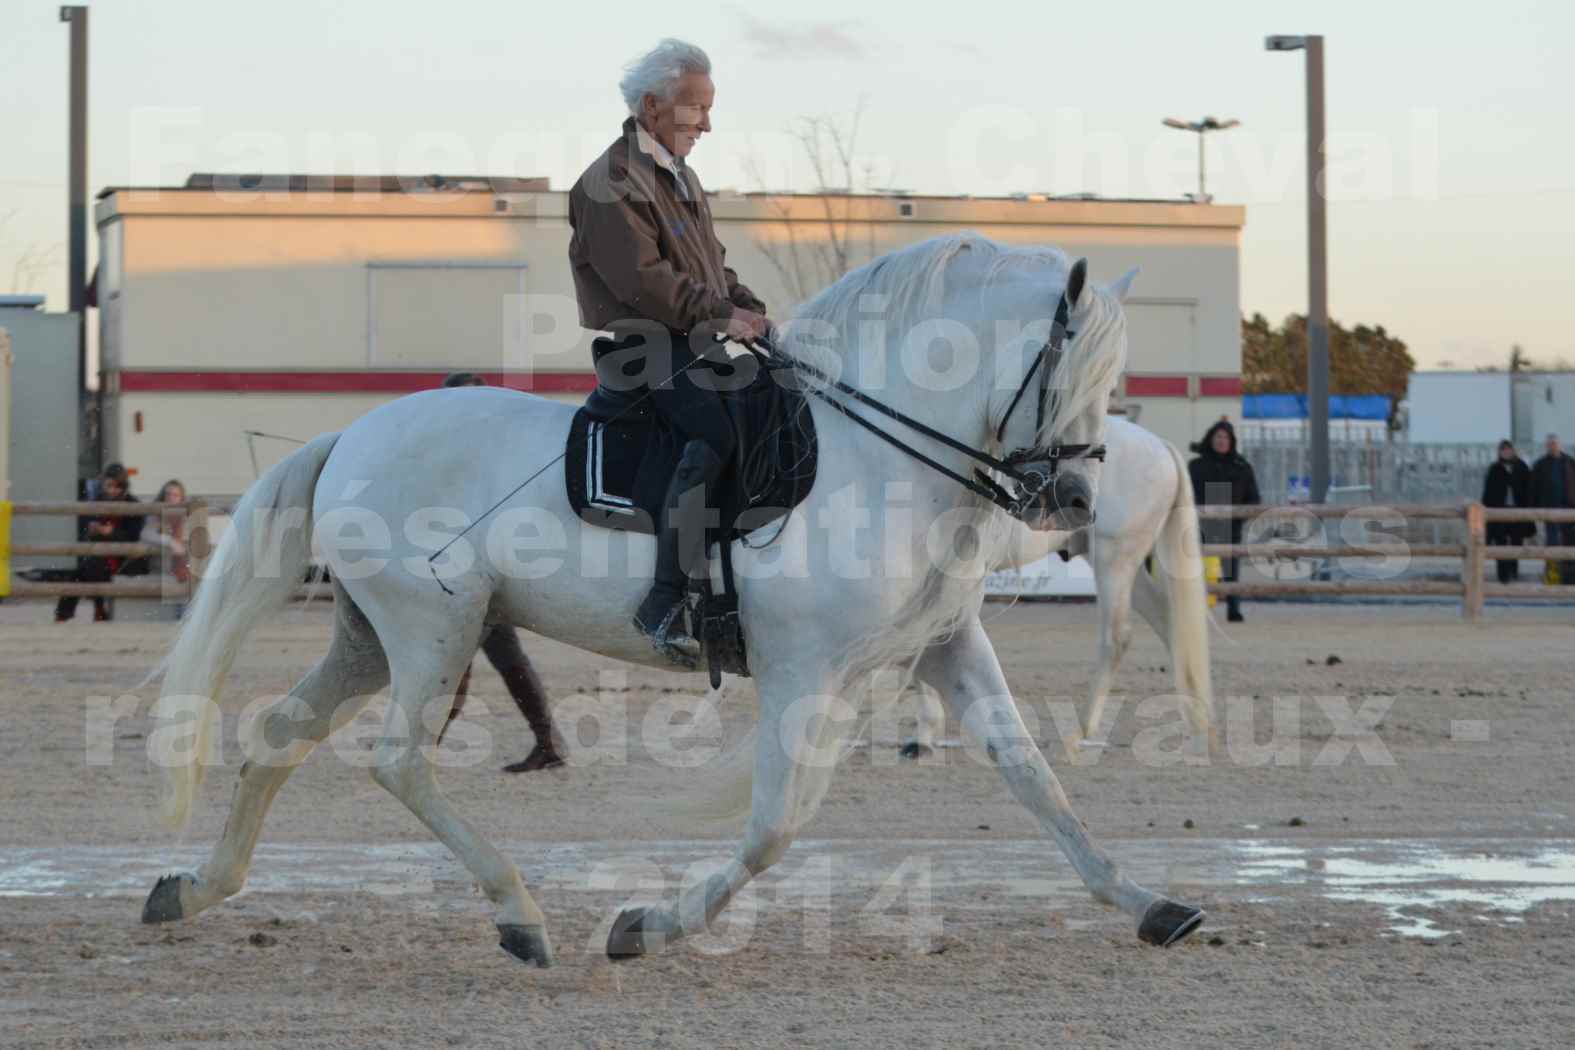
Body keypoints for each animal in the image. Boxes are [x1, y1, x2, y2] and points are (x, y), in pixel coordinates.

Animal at [900, 415, 1215, 755]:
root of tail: (1160, 445)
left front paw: (924, 736)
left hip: (1113, 559)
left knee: (1117, 637)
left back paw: (1079, 733)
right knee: (1169, 623)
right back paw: (1197, 725)